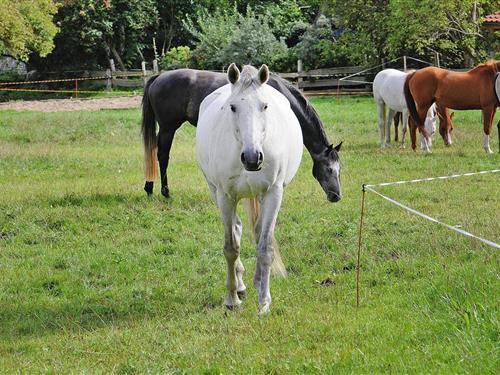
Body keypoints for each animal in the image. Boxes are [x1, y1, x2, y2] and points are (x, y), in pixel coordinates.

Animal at [143, 68, 342, 201]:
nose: (336, 196)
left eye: (339, 169)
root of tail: (159, 76)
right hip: (168, 128)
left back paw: (149, 188)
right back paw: (165, 192)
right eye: (330, 169)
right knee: (162, 156)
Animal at [197, 64, 302, 314]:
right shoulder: (225, 196)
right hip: (216, 192)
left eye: (264, 105)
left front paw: (264, 302)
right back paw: (241, 285)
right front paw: (231, 299)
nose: (253, 158)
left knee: (256, 232)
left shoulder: (273, 194)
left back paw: (255, 282)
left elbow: (265, 247)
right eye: (233, 106)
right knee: (237, 229)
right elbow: (231, 248)